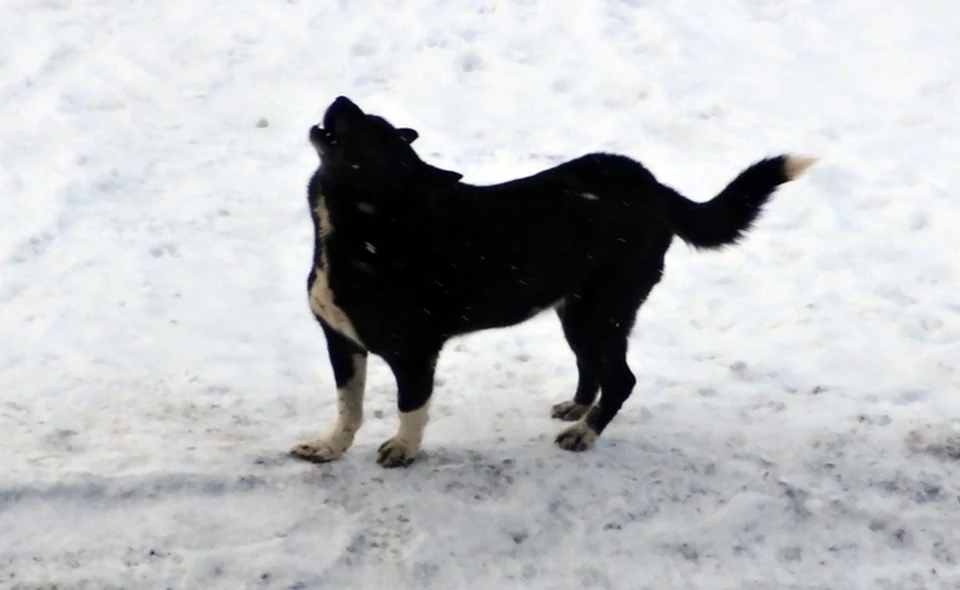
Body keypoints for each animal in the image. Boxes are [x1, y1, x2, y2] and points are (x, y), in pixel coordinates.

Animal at [288, 95, 812, 470]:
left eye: (372, 133)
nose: (340, 98)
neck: (370, 222)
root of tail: (657, 189)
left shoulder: (416, 353)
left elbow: (410, 406)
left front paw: (403, 449)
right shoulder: (340, 342)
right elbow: (348, 406)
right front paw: (329, 447)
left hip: (600, 309)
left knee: (621, 378)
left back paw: (585, 433)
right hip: (577, 309)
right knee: (593, 367)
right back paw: (578, 409)